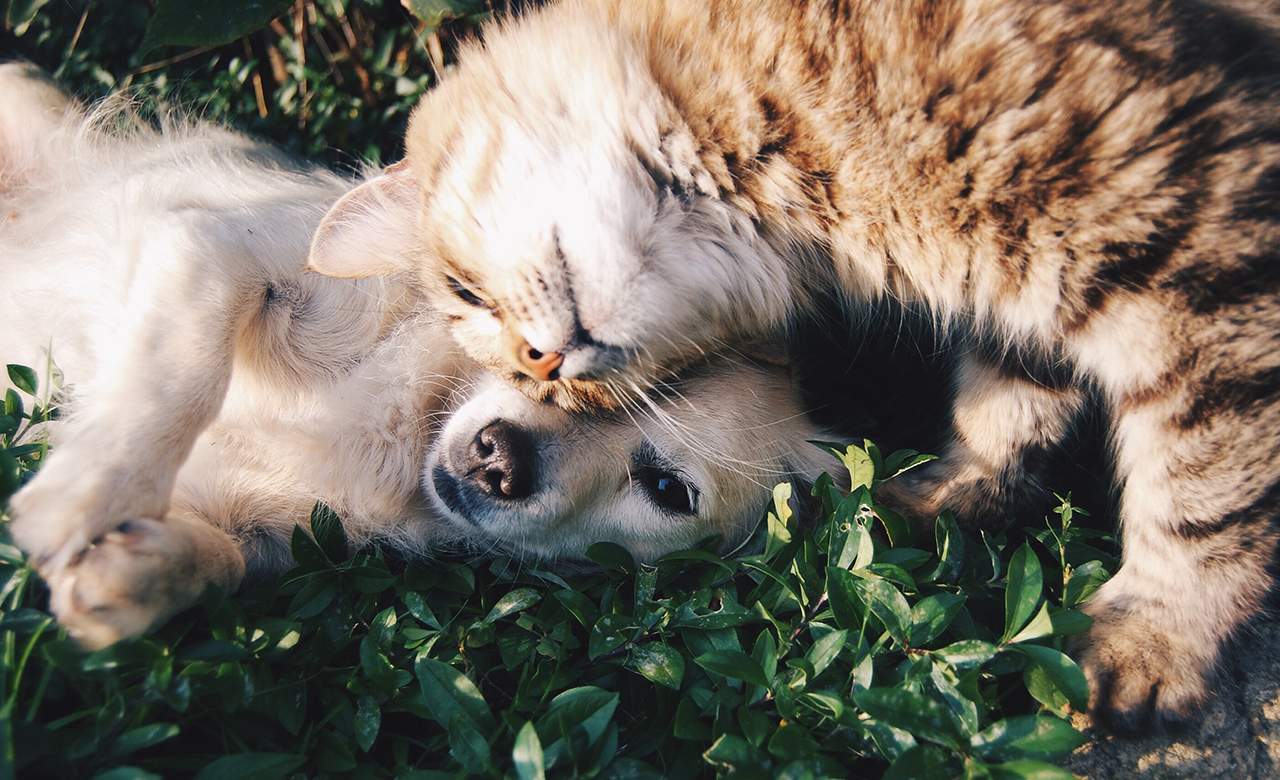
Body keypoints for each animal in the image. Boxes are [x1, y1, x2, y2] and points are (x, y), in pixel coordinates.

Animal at [2, 60, 839, 645]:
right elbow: (180, 376)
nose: (500, 459)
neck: (406, 429)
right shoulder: (215, 248)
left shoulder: (267, 529)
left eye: (667, 490)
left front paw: (130, 576)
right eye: (543, 356)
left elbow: (225, 561)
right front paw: (84, 493)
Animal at [307, 0, 1280, 727]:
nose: (544, 366)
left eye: (465, 292)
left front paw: (1155, 637)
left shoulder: (1199, 259)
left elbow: (1203, 495)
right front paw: (951, 497)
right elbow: (1007, 405)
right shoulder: (1025, 294)